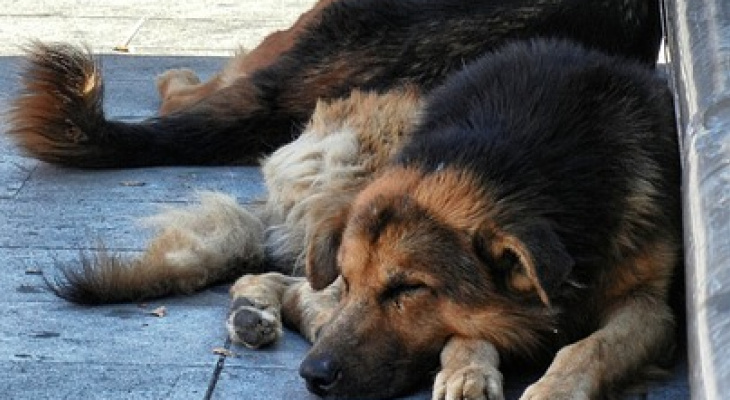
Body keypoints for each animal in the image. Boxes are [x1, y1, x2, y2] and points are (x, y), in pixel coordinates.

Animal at [5, 0, 680, 400]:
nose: (313, 377)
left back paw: (258, 310)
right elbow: (466, 331)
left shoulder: (652, 307)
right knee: (304, 290)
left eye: (409, 289)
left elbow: (591, 346)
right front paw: (467, 368)